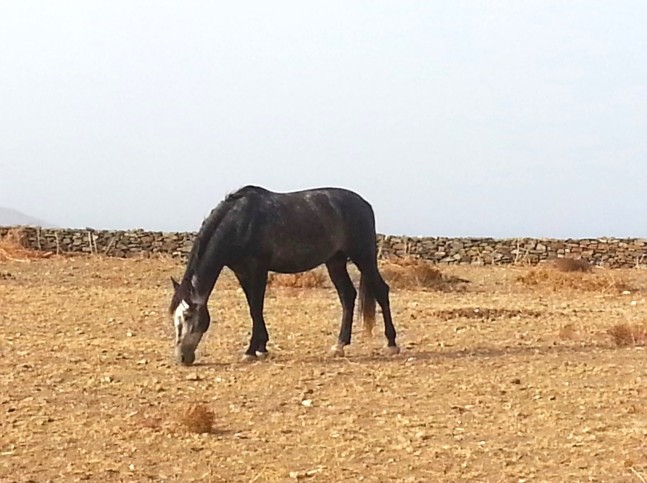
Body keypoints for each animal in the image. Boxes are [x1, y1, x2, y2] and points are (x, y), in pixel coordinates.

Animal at [170, 187, 398, 364]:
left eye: (188, 316)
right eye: (174, 318)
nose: (181, 358)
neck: (240, 222)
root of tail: (364, 204)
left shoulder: (258, 268)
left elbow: (256, 307)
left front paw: (251, 351)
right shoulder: (241, 271)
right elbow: (253, 307)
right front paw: (261, 347)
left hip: (363, 257)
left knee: (381, 290)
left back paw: (391, 344)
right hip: (336, 261)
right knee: (347, 296)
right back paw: (339, 345)